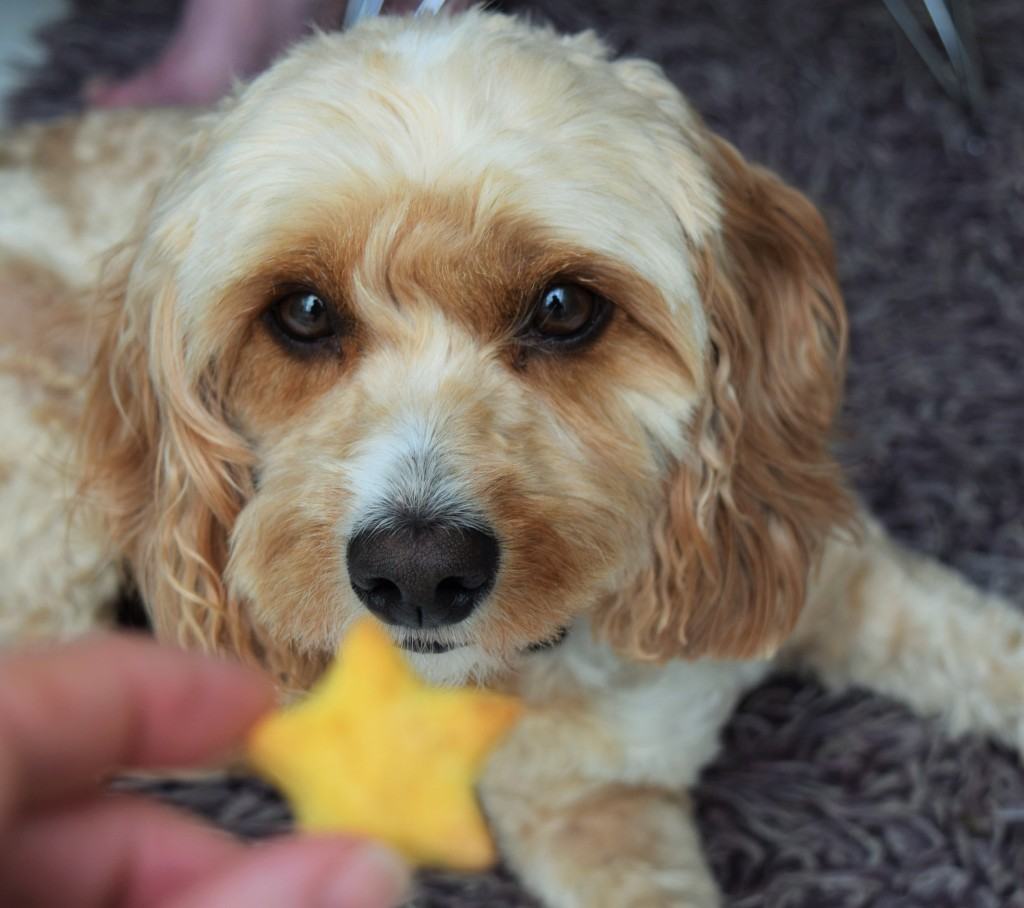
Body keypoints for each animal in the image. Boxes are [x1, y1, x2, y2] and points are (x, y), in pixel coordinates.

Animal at [2, 10, 1024, 904]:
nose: (416, 574)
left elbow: (989, 647)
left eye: (566, 307)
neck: (591, 633)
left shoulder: (834, 572)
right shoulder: (587, 819)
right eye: (301, 312)